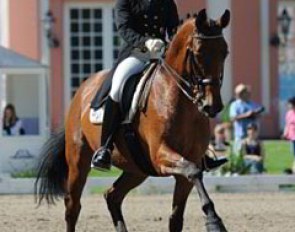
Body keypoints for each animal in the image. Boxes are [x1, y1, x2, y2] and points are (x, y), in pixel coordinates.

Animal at [35, 9, 231, 232]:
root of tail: (83, 89)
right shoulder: (161, 155)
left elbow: (177, 216)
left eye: (225, 52)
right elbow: (193, 171)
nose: (212, 106)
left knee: (112, 196)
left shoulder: (188, 164)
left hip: (136, 169)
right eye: (198, 53)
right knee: (72, 206)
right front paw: (214, 221)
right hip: (78, 160)